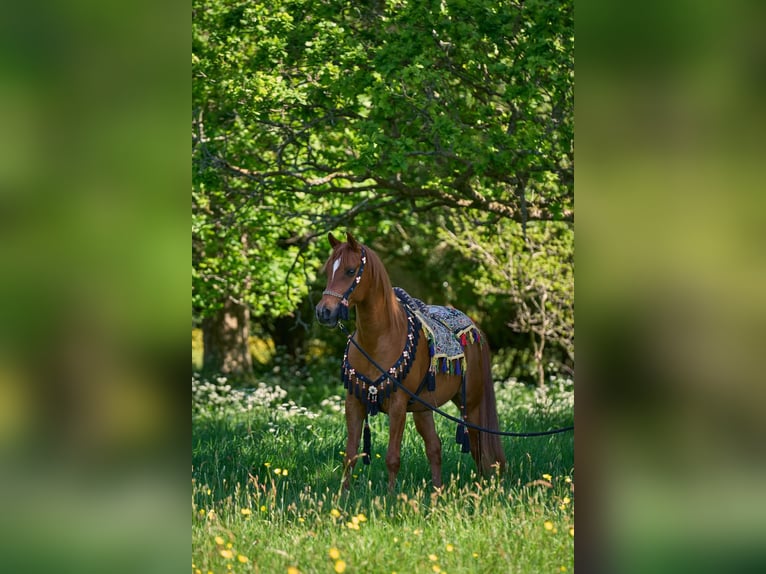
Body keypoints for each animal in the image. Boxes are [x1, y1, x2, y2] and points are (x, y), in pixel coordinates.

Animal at [315, 232, 506, 490]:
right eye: (328, 270)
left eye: (350, 270)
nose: (323, 312)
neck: (379, 339)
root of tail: (475, 328)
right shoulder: (354, 402)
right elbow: (350, 455)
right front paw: (342, 497)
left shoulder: (397, 405)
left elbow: (392, 458)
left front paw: (391, 497)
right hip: (424, 408)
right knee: (434, 447)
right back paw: (437, 491)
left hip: (471, 405)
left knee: (478, 445)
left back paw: (484, 487)